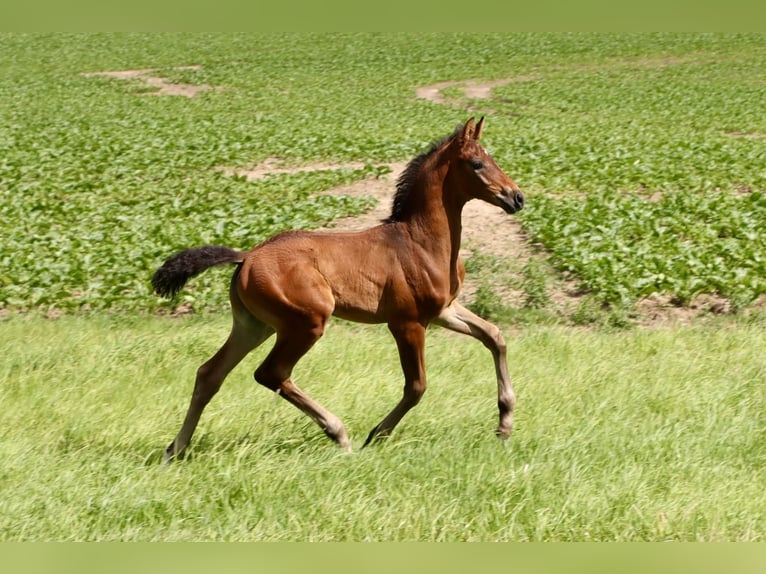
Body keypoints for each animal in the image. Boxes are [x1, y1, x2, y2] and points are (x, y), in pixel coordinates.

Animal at [156, 118, 528, 464]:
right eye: (477, 163)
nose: (517, 197)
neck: (418, 242)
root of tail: (245, 256)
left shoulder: (443, 311)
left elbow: (495, 336)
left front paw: (505, 423)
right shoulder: (407, 323)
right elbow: (417, 386)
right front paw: (376, 435)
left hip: (254, 325)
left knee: (210, 374)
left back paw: (174, 450)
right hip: (306, 322)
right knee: (271, 373)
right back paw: (339, 434)